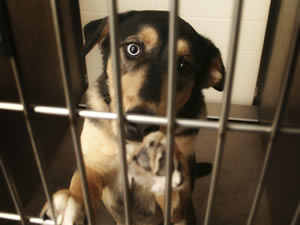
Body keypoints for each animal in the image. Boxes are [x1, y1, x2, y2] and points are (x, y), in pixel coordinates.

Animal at [41, 10, 225, 225]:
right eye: (133, 49)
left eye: (183, 66)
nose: (140, 125)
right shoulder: (95, 162)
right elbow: (83, 181)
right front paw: (71, 202)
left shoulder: (180, 206)